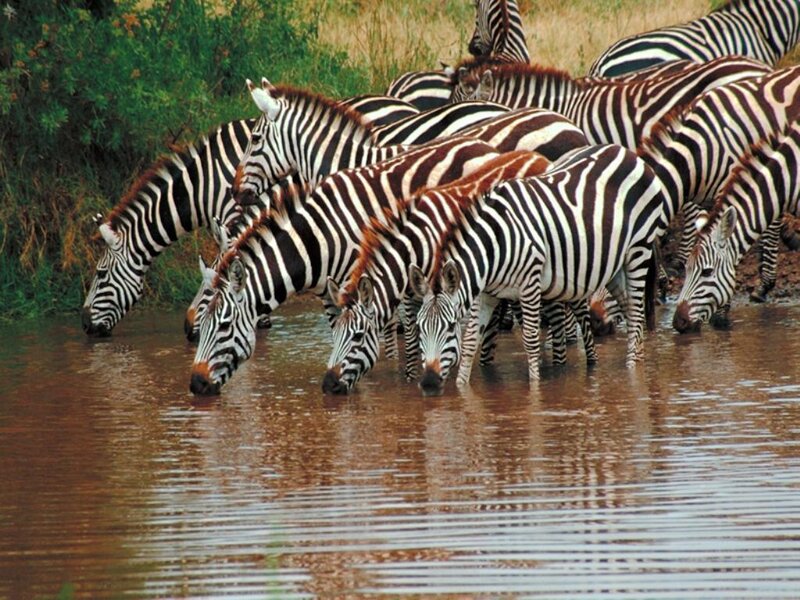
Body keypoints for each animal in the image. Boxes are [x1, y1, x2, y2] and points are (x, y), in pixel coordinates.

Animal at [189, 136, 505, 396]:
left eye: (224, 326)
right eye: (204, 323)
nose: (196, 384)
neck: (318, 240)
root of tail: (484, 146)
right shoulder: (330, 294)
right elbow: (339, 332)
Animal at [409, 144, 667, 394]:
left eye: (451, 326)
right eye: (420, 327)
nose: (429, 382)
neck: (495, 245)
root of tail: (629, 153)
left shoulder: (530, 284)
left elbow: (531, 341)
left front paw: (535, 392)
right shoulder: (487, 293)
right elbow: (471, 341)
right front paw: (463, 390)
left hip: (638, 249)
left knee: (636, 314)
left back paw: (633, 375)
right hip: (612, 265)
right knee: (631, 313)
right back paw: (638, 364)